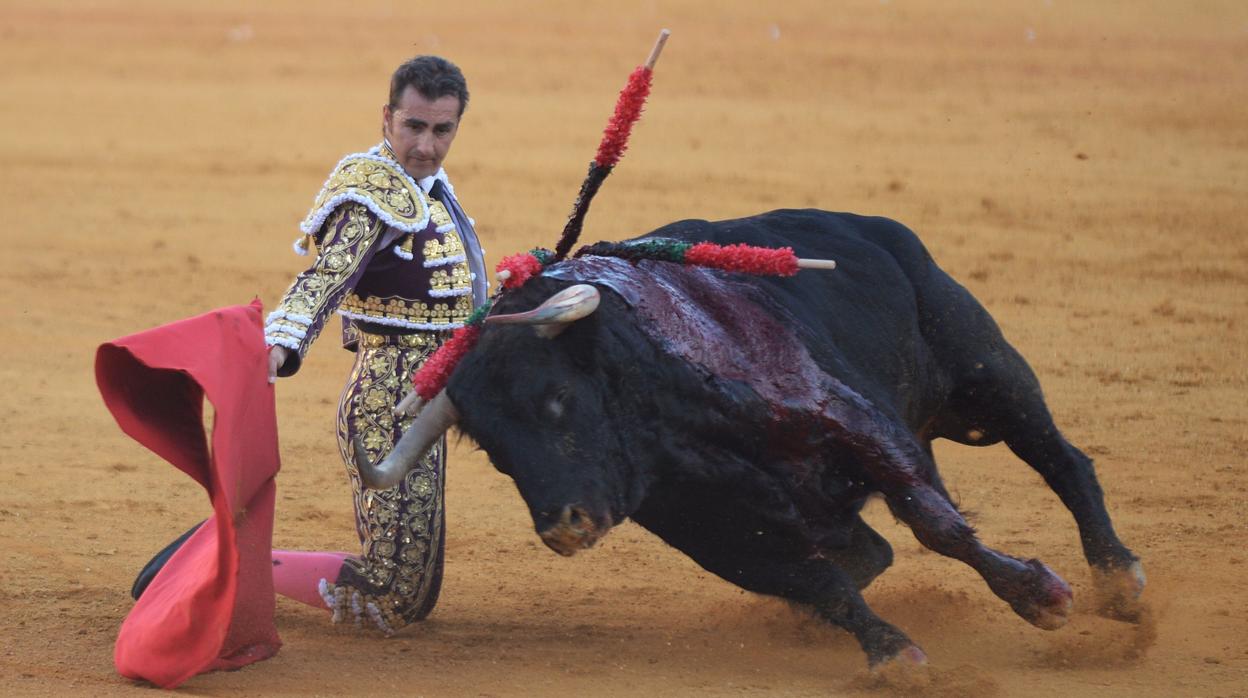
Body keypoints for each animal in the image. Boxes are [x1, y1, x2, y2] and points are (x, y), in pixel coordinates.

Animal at [356, 209, 1143, 669]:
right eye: (495, 451)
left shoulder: (859, 424)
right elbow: (821, 582)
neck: (682, 433)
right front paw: (892, 654)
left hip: (984, 375)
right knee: (870, 552)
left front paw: (1040, 596)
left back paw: (1118, 580)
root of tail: (869, 223)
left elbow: (938, 526)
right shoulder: (718, 534)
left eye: (556, 400)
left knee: (1062, 459)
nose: (564, 527)